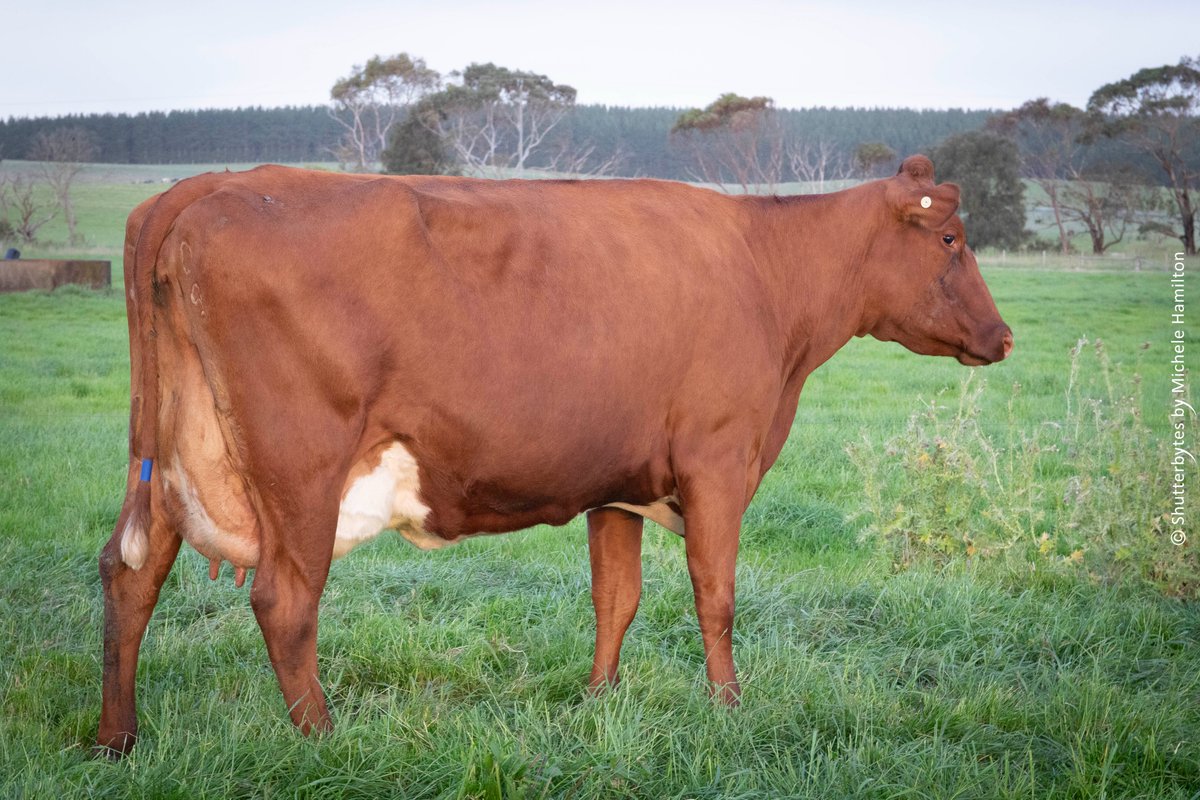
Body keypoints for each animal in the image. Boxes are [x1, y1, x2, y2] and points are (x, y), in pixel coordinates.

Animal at [96, 155, 1011, 755]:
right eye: (952, 240)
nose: (1002, 337)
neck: (766, 271)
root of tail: (203, 187)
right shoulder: (719, 463)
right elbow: (715, 596)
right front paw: (728, 710)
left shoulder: (617, 482)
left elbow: (617, 598)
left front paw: (599, 700)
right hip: (302, 473)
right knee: (285, 601)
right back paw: (323, 739)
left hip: (172, 459)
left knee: (129, 574)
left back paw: (117, 737)